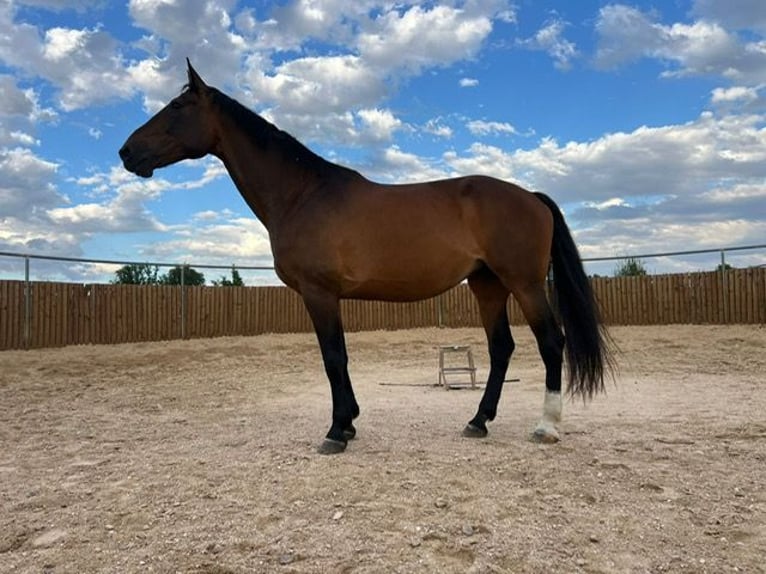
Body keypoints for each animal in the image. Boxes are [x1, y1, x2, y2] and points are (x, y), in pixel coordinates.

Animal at [119, 60, 613, 454]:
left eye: (177, 107)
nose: (126, 152)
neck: (303, 194)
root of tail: (531, 197)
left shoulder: (319, 293)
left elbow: (333, 357)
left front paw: (337, 431)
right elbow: (339, 358)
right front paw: (350, 422)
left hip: (524, 284)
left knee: (551, 342)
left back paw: (546, 427)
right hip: (487, 285)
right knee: (501, 348)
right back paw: (477, 421)